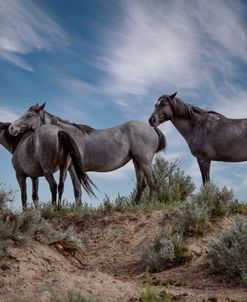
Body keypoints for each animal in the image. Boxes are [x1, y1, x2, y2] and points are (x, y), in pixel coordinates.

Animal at [8, 104, 166, 203]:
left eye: (29, 115)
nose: (11, 128)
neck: (67, 135)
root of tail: (152, 128)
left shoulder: (73, 169)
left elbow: (77, 190)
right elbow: (75, 190)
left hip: (144, 162)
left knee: (152, 183)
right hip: (137, 161)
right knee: (142, 184)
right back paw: (134, 204)